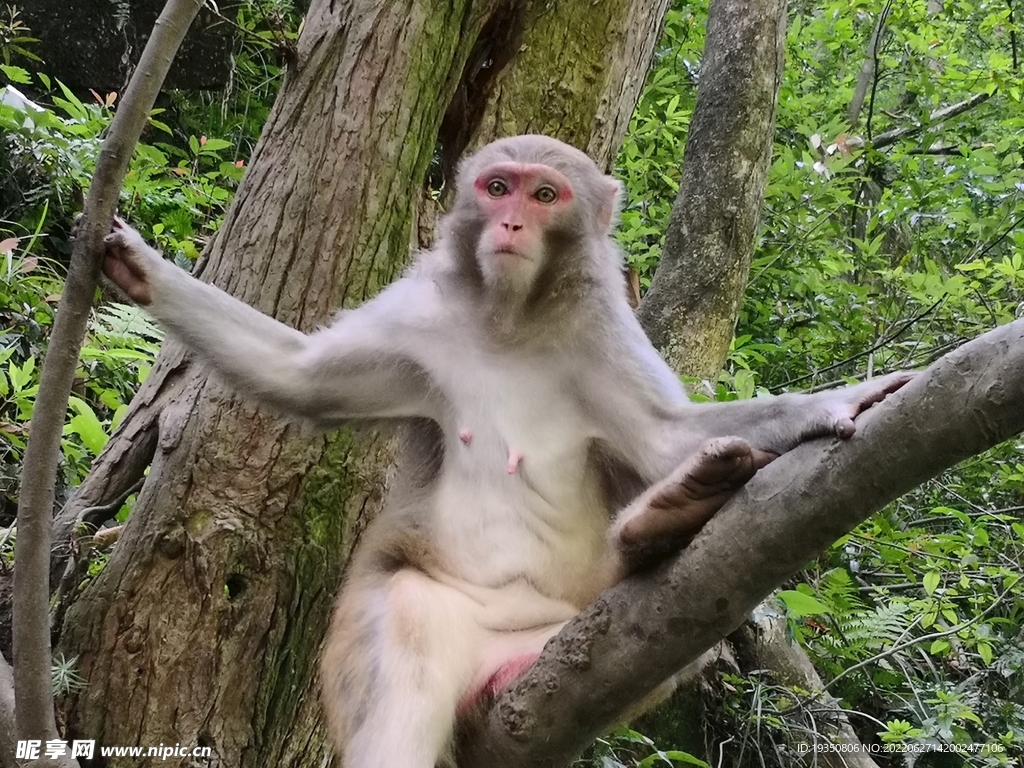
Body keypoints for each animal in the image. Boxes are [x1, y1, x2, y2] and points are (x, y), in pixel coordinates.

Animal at [97, 135, 913, 765]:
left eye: (545, 194)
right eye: (497, 188)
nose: (514, 221)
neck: (511, 320)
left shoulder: (601, 325)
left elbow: (661, 435)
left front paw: (836, 405)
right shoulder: (420, 314)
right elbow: (301, 380)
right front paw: (145, 271)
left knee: (688, 632)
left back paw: (662, 525)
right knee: (406, 624)